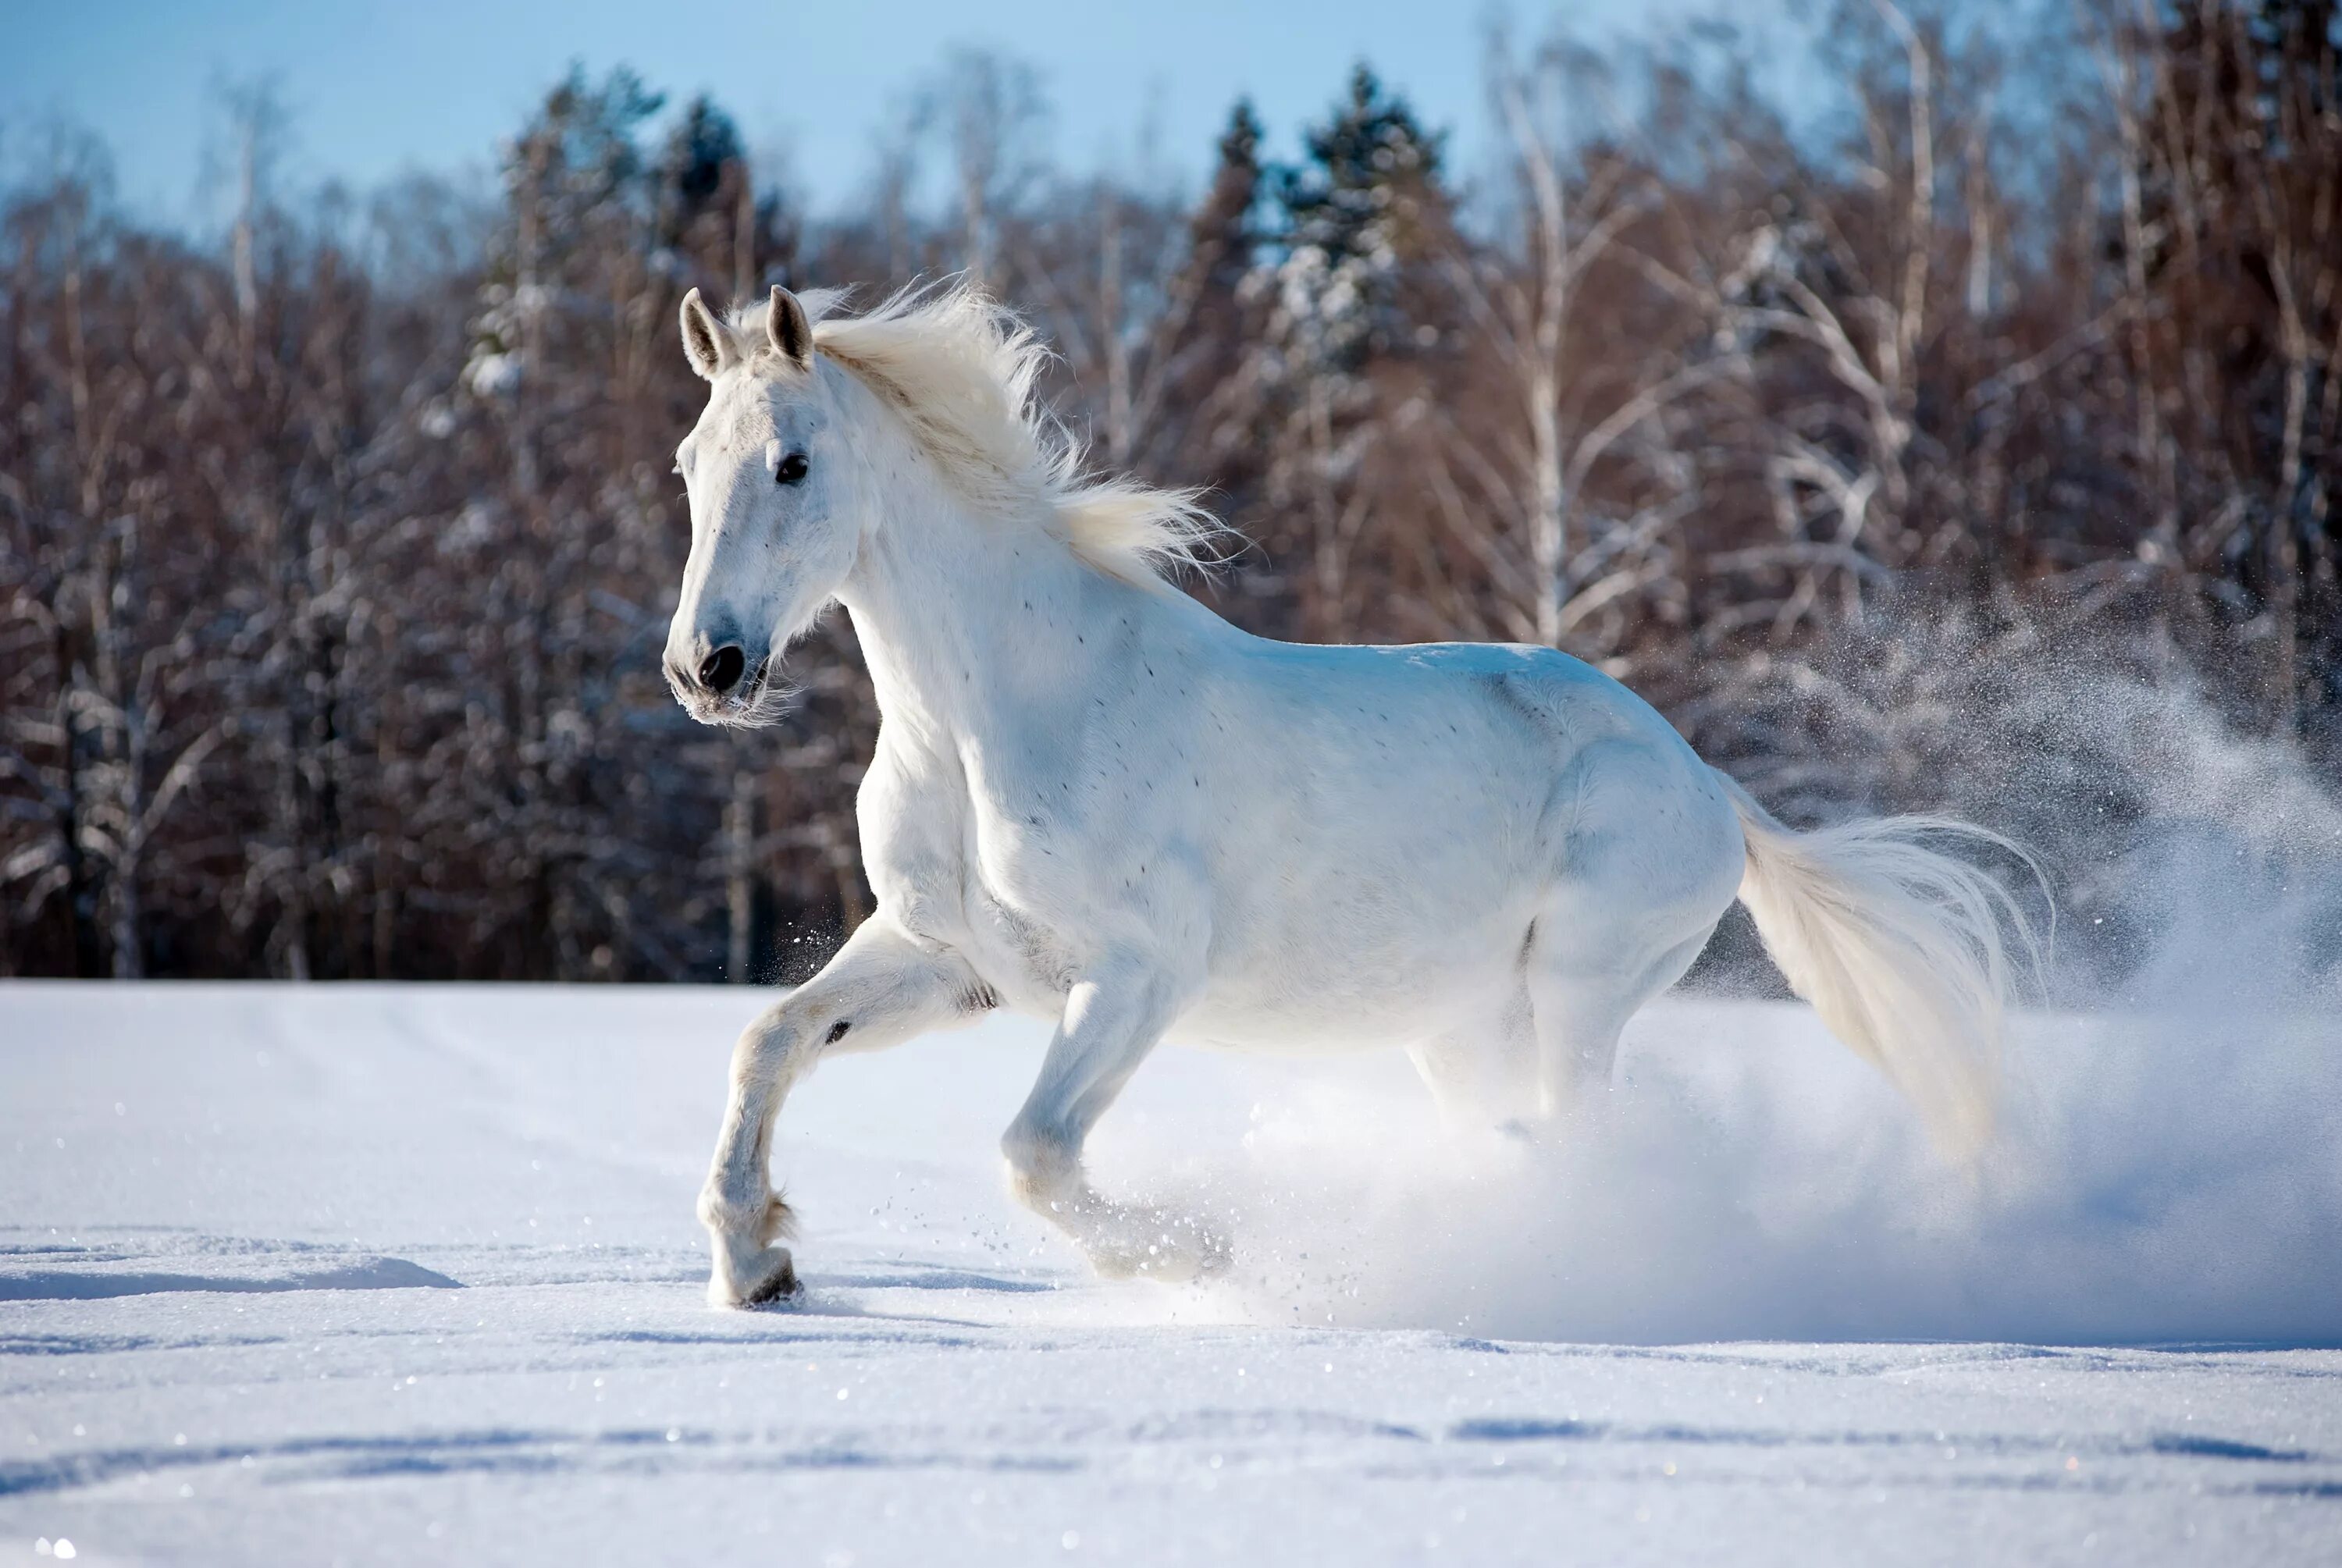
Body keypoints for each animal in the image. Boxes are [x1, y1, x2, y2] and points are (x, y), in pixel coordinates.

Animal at [660, 276, 2033, 1310]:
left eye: (792, 463)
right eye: (687, 464)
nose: (705, 668)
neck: (994, 716)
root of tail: (1705, 782)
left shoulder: (1141, 972)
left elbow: (1034, 1155)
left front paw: (1200, 1254)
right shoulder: (950, 958)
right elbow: (767, 1041)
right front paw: (758, 1263)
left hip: (1581, 991)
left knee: (1580, 1142)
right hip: (1462, 1027)